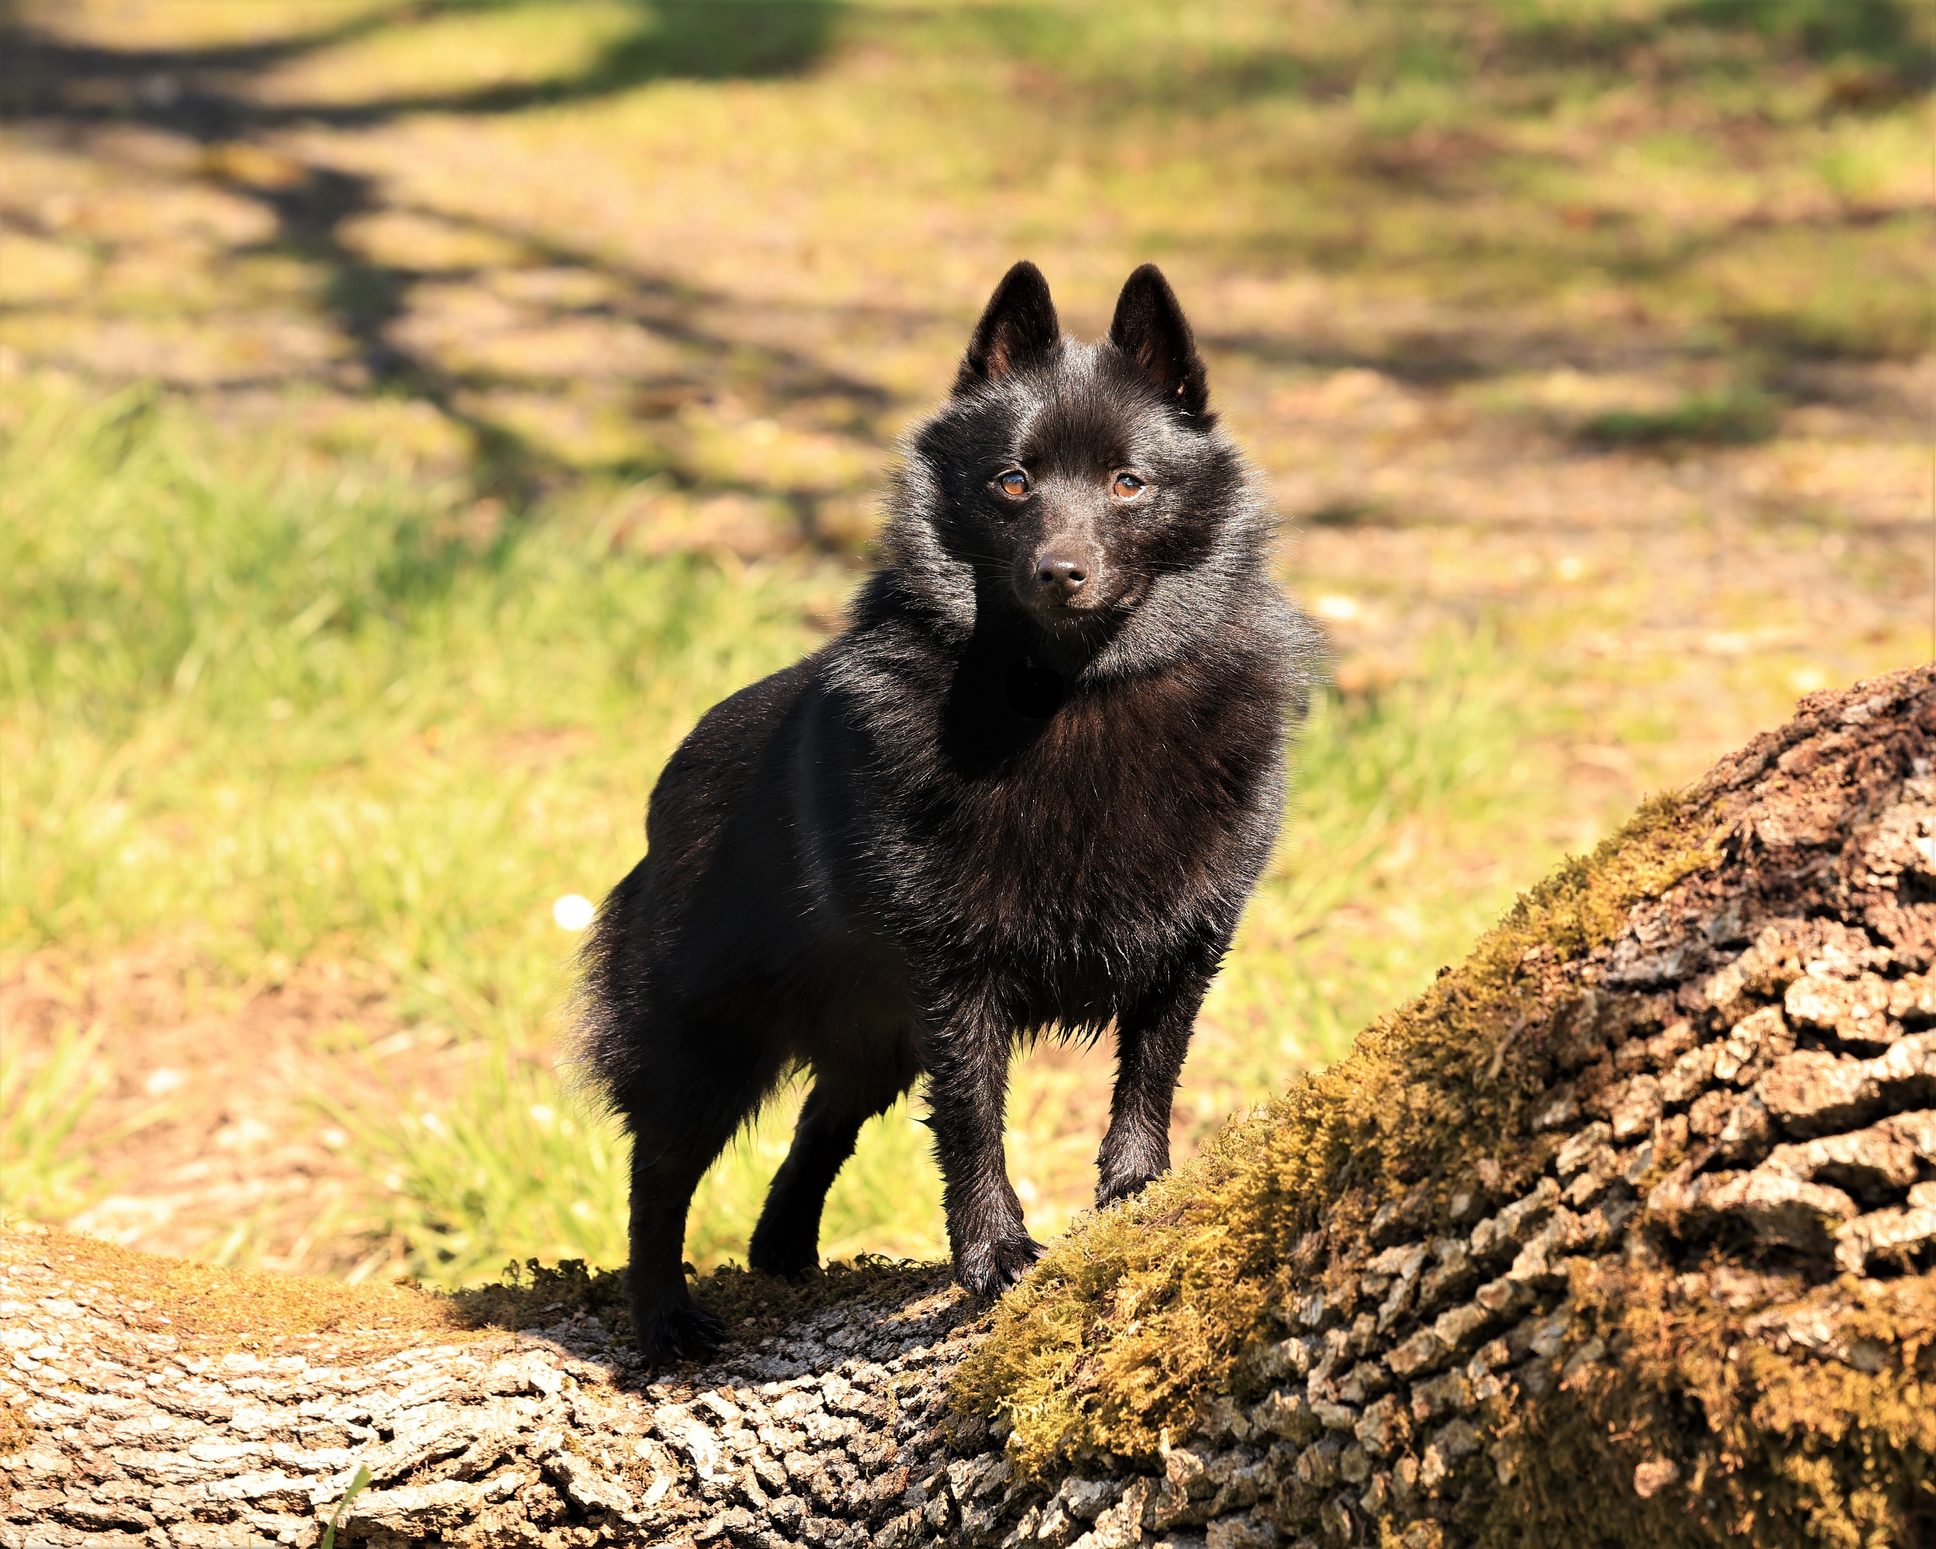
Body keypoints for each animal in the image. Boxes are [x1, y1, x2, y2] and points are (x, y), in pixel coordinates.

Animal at [573, 259, 1316, 1363]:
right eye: (1012, 482)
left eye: (1128, 483)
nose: (1061, 570)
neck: (1067, 697)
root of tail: (670, 781)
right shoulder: (955, 976)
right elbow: (972, 1117)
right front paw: (993, 1254)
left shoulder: (1189, 941)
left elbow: (1150, 1073)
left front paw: (1136, 1192)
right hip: (707, 1034)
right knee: (657, 1173)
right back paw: (663, 1317)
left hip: (869, 1037)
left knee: (819, 1124)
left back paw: (782, 1247)